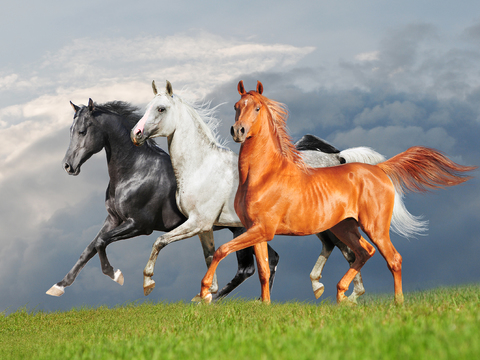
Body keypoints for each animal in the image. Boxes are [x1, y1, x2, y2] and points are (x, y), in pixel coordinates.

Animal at [47, 100, 280, 300]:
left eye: (82, 131)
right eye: (70, 130)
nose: (68, 166)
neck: (136, 170)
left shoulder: (139, 225)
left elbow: (101, 242)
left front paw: (115, 274)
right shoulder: (113, 219)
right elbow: (90, 248)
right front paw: (59, 286)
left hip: (240, 229)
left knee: (247, 268)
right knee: (270, 260)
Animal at [130, 81, 424, 300]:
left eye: (160, 108)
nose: (136, 134)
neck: (201, 165)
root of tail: (339, 158)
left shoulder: (198, 222)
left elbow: (160, 241)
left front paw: (148, 283)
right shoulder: (204, 227)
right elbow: (209, 255)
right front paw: (206, 294)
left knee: (350, 252)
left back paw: (344, 293)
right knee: (344, 250)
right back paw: (332, 289)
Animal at [196, 79, 476, 304]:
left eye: (256, 108)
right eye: (236, 106)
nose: (238, 131)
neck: (264, 176)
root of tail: (379, 169)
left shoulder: (262, 229)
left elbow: (221, 250)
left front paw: (205, 292)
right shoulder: (257, 231)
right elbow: (264, 270)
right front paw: (264, 305)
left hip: (374, 227)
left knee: (392, 258)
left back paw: (396, 303)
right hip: (345, 227)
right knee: (363, 253)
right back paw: (342, 294)